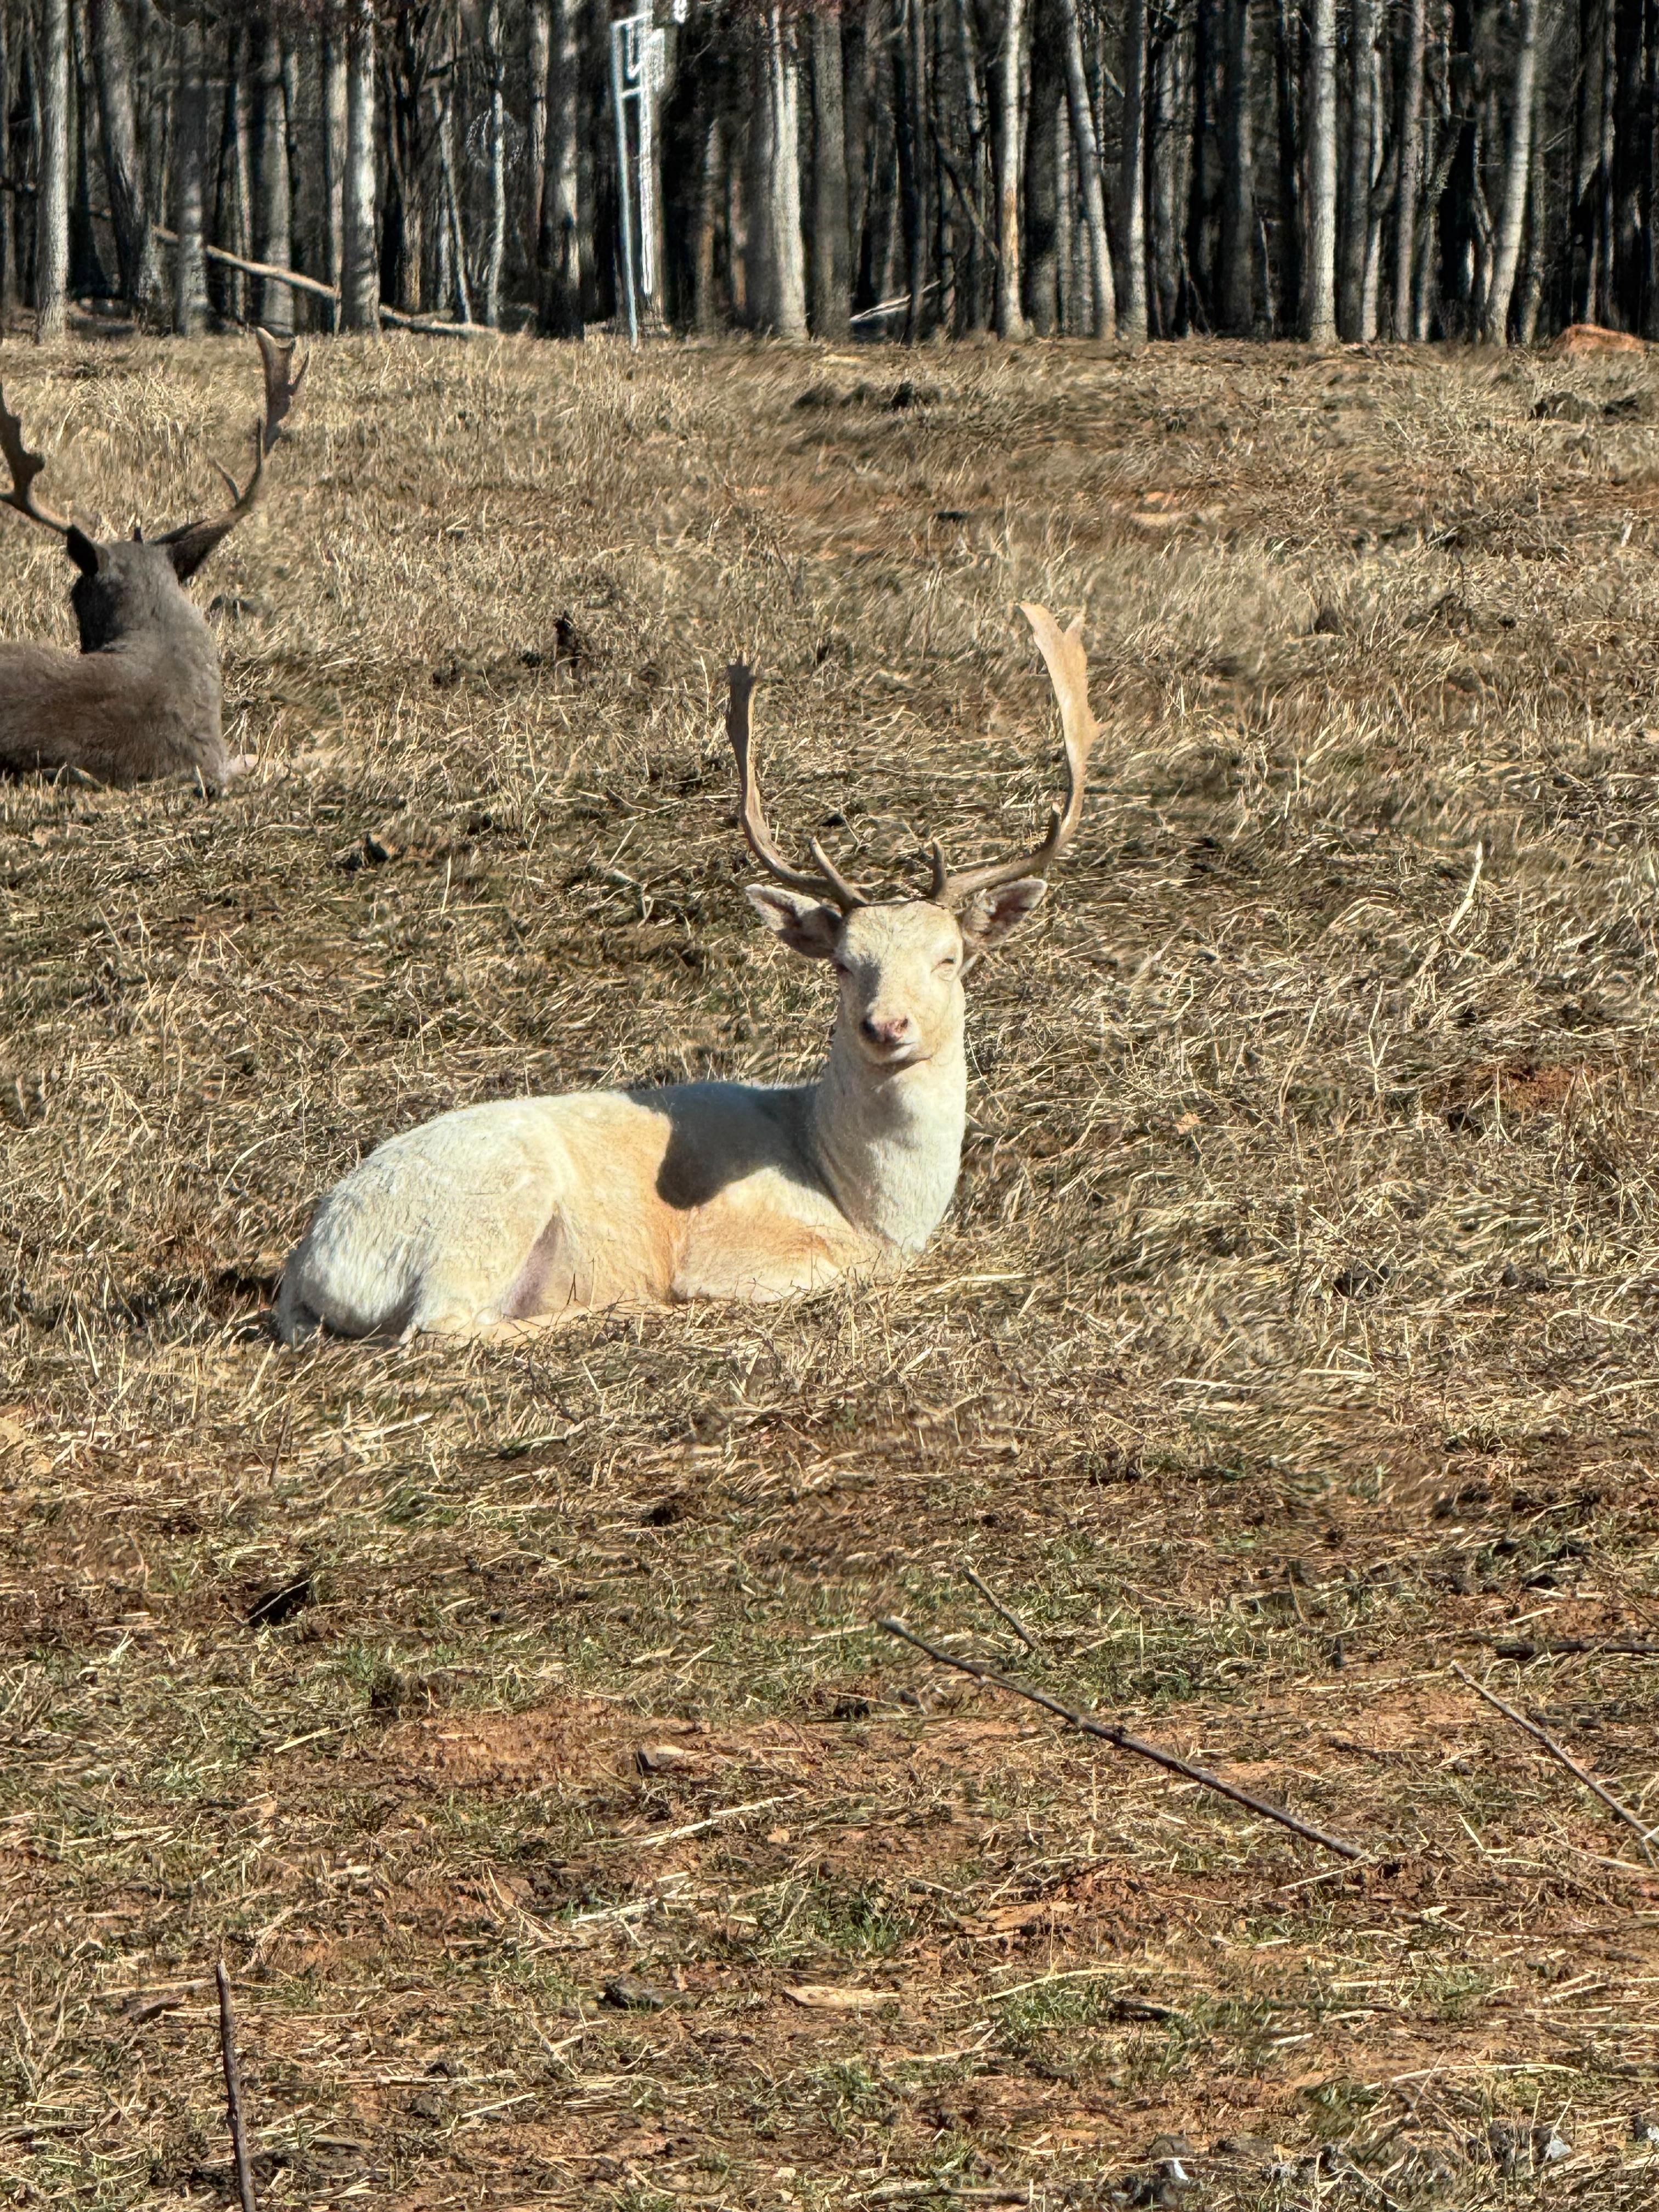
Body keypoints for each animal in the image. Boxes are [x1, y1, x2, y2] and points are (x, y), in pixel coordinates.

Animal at [273, 603, 1100, 1346]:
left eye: (950, 957)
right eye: (843, 963)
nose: (886, 1025)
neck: (860, 1199)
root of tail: (308, 1263)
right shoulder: (747, 1250)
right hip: (486, 1210)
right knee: (439, 1327)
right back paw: (626, 1308)